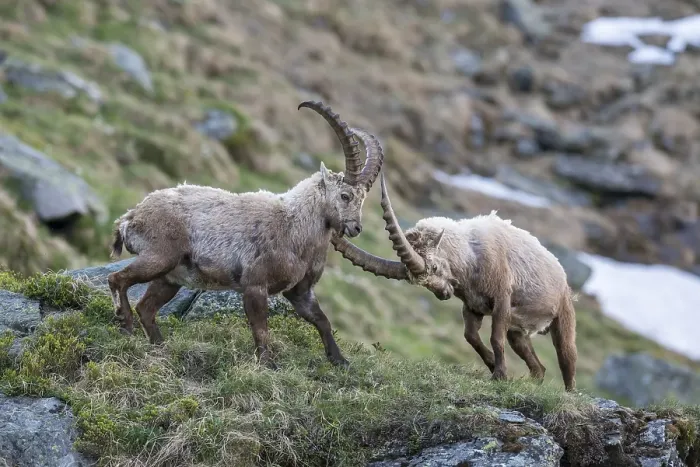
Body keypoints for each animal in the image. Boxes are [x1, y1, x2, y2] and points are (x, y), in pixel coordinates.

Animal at [107, 101, 385, 369]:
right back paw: (126, 324)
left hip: (171, 278)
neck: (295, 225)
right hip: (159, 257)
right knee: (117, 279)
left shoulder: (300, 292)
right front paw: (267, 365)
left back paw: (160, 346)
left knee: (146, 307)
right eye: (345, 195)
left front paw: (340, 361)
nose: (356, 228)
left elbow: (322, 320)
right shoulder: (255, 285)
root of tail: (131, 216)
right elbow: (261, 330)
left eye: (362, 199)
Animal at [330, 169, 577, 391]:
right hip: (518, 331)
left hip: (562, 317)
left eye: (435, 267)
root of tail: (563, 278)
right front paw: (492, 364)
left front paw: (500, 375)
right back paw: (533, 381)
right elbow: (471, 336)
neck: (470, 256)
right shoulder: (473, 306)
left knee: (567, 356)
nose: (443, 294)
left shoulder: (502, 300)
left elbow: (495, 338)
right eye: (418, 282)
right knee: (537, 367)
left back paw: (569, 393)